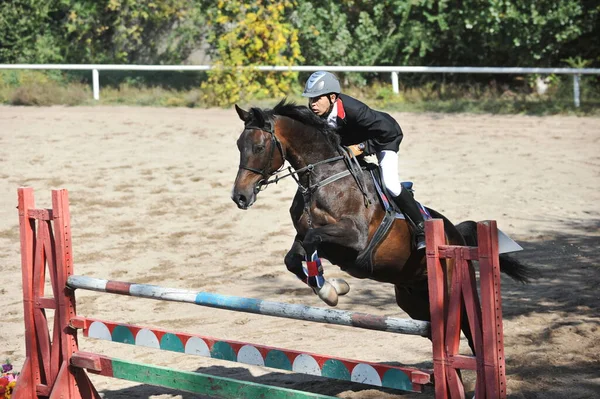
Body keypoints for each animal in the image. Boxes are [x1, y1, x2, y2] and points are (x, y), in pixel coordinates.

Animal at [232, 100, 532, 354]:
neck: (323, 179)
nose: (240, 197)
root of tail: (455, 235)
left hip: (450, 291)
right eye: (238, 145)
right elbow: (294, 258)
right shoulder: (309, 236)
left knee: (469, 331)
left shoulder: (353, 238)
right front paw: (333, 288)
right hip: (414, 299)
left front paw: (330, 290)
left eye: (259, 147)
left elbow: (311, 243)